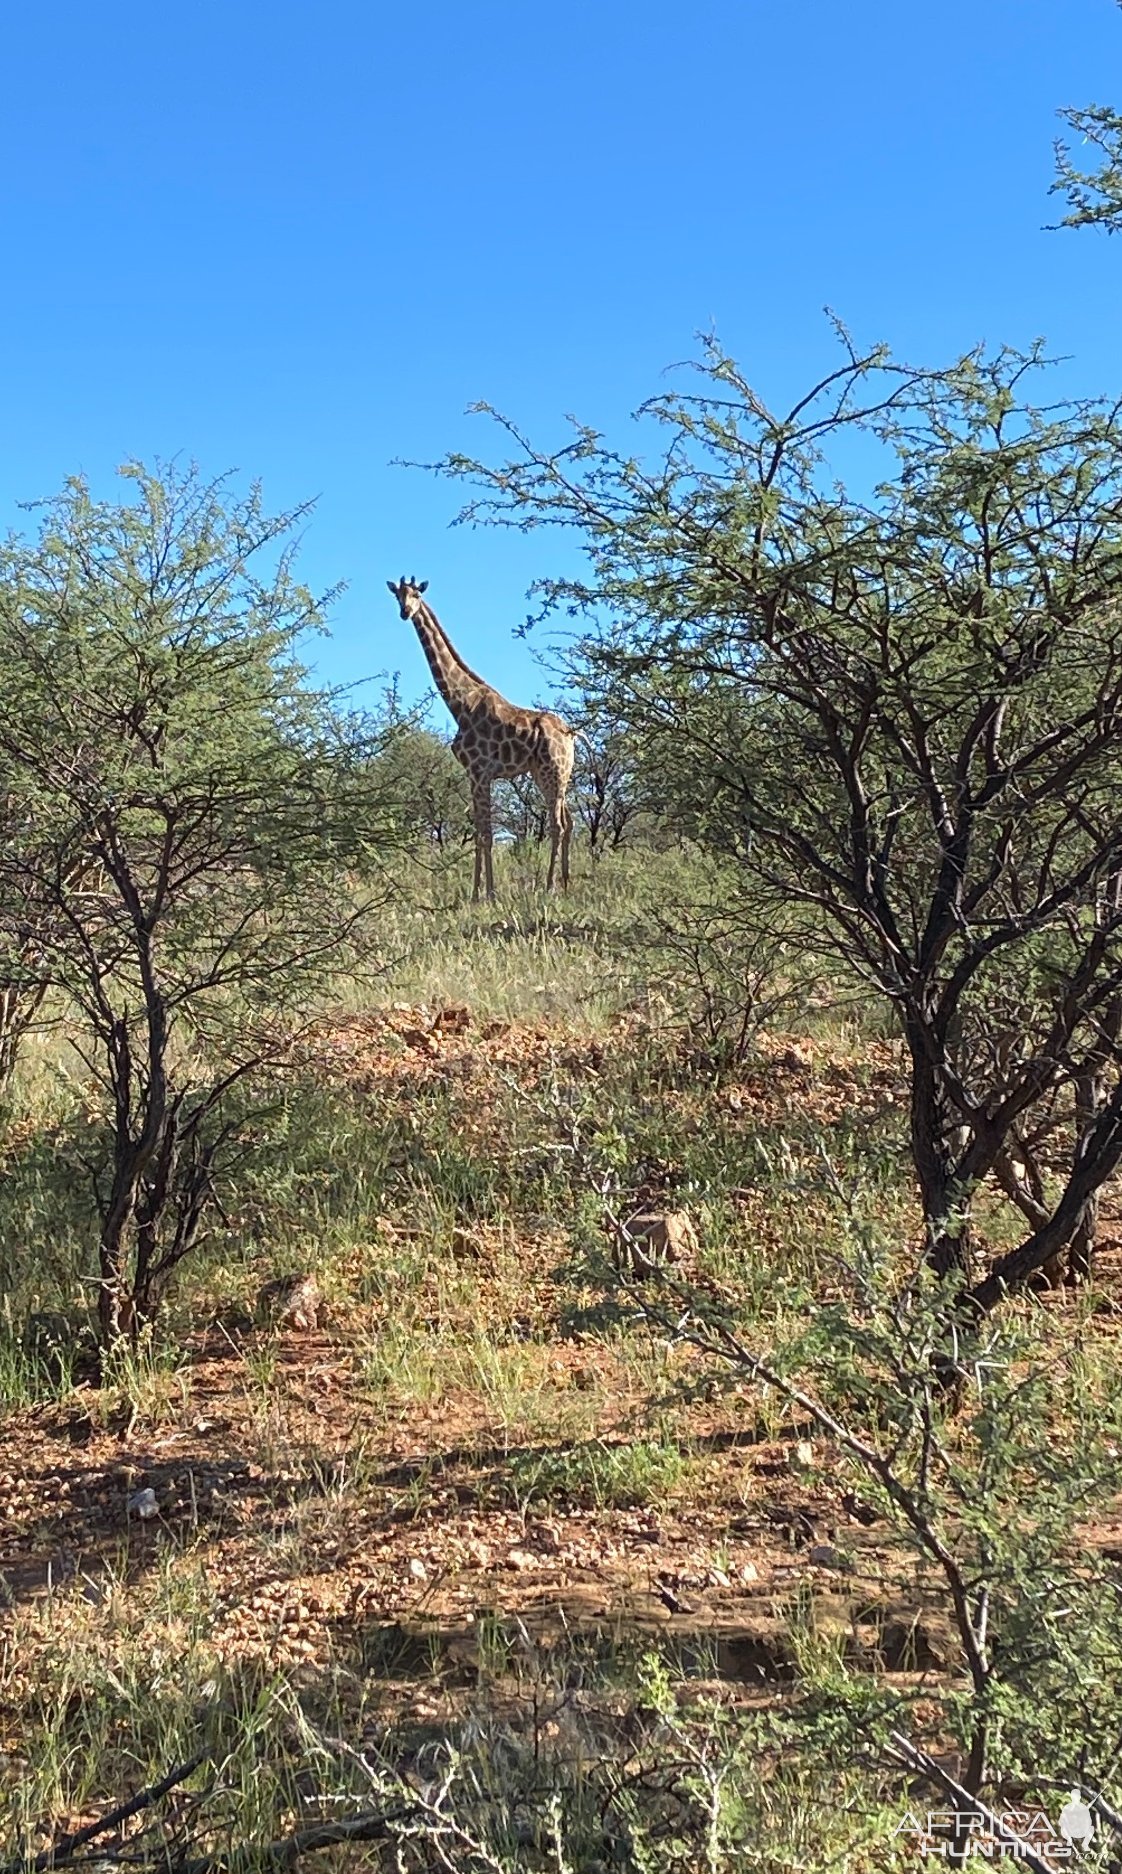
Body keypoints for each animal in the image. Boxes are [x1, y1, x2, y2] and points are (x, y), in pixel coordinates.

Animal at [387, 573, 580, 903]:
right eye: (398, 596)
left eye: (416, 595)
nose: (404, 613)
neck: (459, 704)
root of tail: (571, 736)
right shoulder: (473, 774)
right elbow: (479, 832)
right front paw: (475, 893)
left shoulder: (481, 772)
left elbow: (487, 834)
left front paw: (488, 894)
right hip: (553, 776)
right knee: (568, 823)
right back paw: (565, 885)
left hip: (552, 771)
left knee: (556, 825)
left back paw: (549, 888)